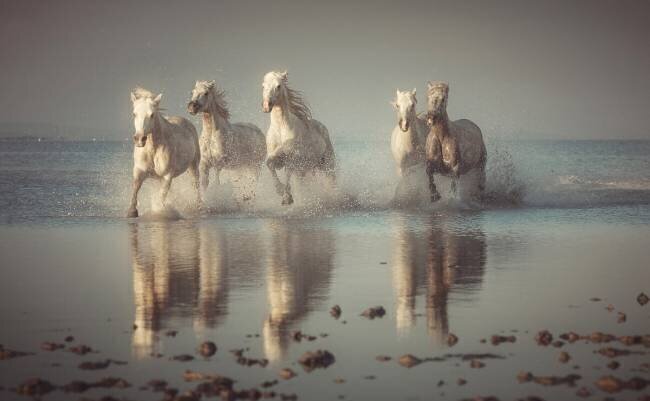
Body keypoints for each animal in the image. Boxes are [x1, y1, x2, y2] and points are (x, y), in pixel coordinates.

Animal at [127, 87, 201, 217]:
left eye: (152, 115)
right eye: (134, 114)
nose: (139, 139)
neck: (153, 150)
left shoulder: (167, 176)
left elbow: (161, 196)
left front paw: (159, 212)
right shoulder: (139, 170)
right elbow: (136, 187)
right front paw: (132, 211)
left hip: (193, 166)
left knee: (196, 184)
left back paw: (198, 206)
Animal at [262, 71, 336, 205]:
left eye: (278, 86)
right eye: (263, 86)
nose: (266, 106)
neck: (281, 130)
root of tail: (322, 127)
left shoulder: (293, 158)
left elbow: (288, 172)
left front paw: (287, 197)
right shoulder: (276, 157)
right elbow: (269, 163)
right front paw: (280, 190)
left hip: (327, 164)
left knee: (331, 181)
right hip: (305, 170)